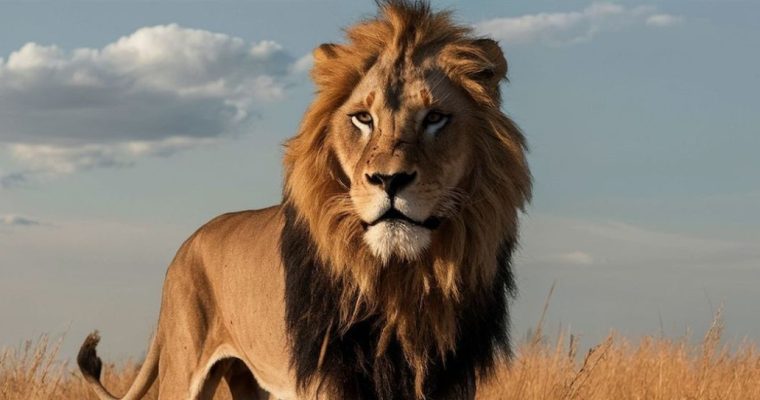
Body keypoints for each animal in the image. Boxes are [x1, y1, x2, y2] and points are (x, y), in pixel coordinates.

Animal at [77, 1, 532, 399]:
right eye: (362, 119)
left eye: (435, 117)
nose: (389, 180)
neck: (399, 279)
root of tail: (185, 246)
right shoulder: (327, 378)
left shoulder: (450, 379)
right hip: (183, 367)